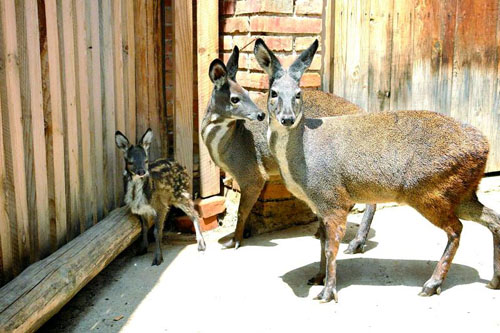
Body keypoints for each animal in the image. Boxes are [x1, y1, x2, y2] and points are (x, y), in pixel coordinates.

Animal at [115, 127, 205, 264]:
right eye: (130, 162)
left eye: (146, 161)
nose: (142, 172)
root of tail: (183, 167)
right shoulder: (141, 209)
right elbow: (145, 227)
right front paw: (142, 248)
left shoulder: (160, 205)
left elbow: (157, 231)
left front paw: (158, 258)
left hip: (181, 193)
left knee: (194, 213)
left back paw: (201, 245)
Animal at [254, 37, 500, 302]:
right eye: (273, 93)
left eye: (299, 94)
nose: (288, 118)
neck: (303, 157)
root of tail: (485, 146)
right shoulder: (319, 204)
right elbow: (321, 243)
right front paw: (317, 278)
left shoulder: (333, 198)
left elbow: (331, 247)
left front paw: (328, 292)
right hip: (461, 191)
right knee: (492, 218)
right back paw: (493, 281)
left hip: (430, 190)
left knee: (456, 229)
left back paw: (431, 284)